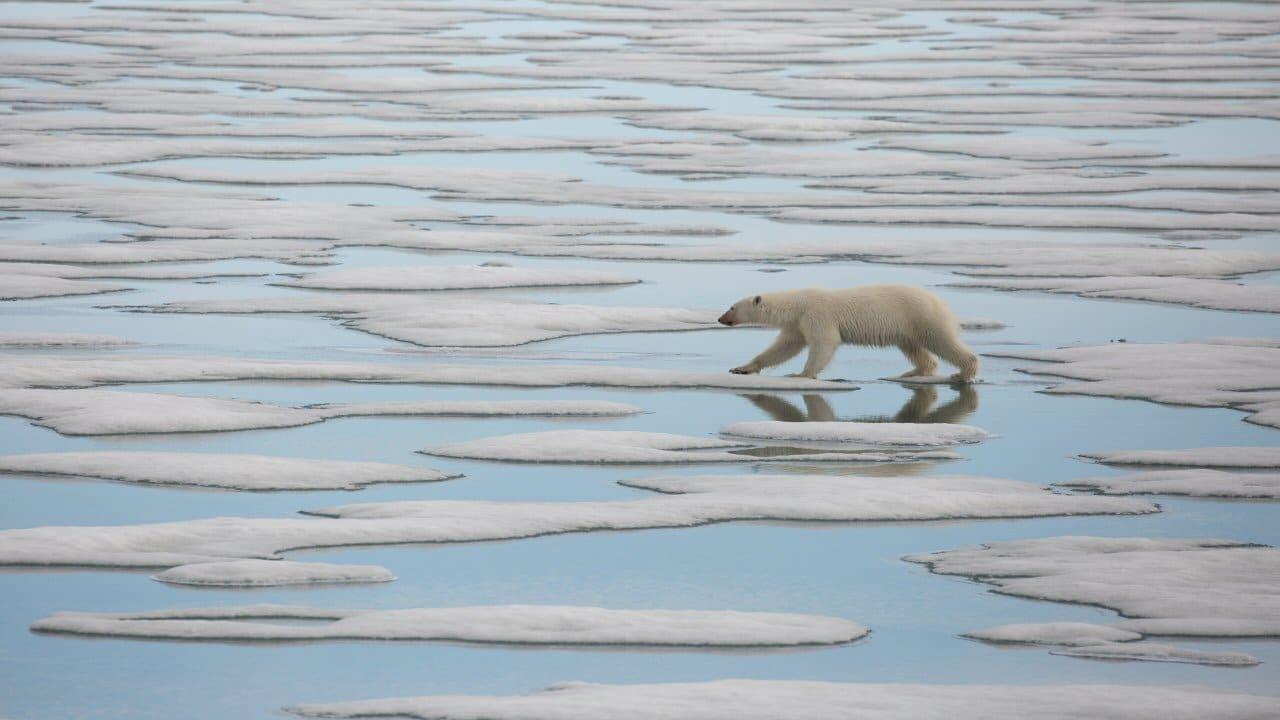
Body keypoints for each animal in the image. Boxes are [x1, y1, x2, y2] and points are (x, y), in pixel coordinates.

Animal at [721, 283, 977, 381]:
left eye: (732, 307)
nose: (720, 318)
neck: (798, 304)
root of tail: (941, 301)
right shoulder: (798, 323)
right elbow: (784, 347)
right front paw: (742, 368)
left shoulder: (817, 316)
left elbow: (824, 343)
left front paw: (800, 375)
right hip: (908, 328)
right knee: (914, 348)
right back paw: (913, 372)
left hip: (921, 316)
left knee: (941, 341)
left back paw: (963, 373)